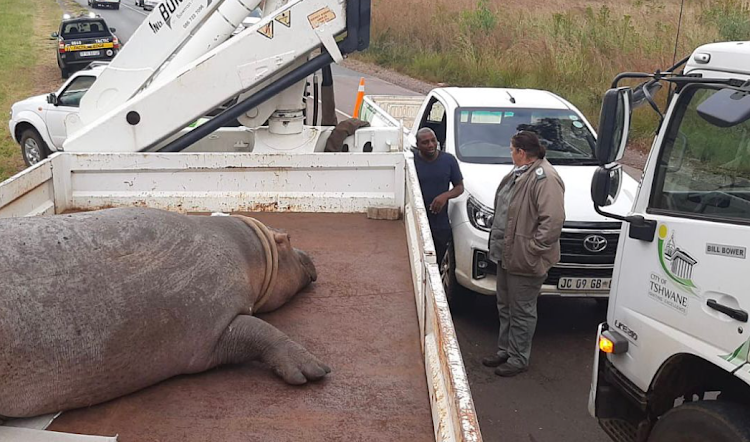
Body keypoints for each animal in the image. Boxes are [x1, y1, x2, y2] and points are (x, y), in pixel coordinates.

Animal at [0, 207, 328, 418]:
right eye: (288, 238)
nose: (308, 254)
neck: (250, 252)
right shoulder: (214, 326)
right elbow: (259, 331)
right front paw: (314, 369)